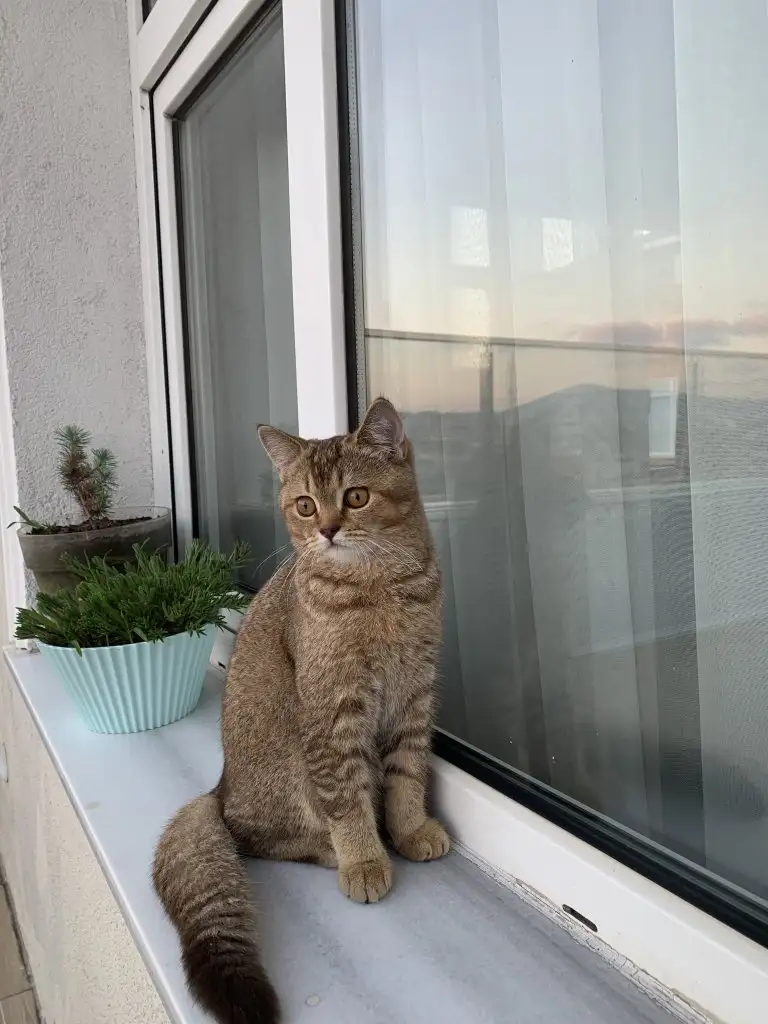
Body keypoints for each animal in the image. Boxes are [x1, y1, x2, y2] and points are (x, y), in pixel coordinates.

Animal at [153, 398, 450, 1024]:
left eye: (356, 497)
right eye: (306, 505)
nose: (329, 530)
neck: (380, 588)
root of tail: (218, 787)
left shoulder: (414, 699)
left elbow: (408, 776)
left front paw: (409, 828)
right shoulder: (331, 717)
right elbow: (347, 801)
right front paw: (364, 858)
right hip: (287, 765)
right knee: (253, 836)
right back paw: (331, 852)